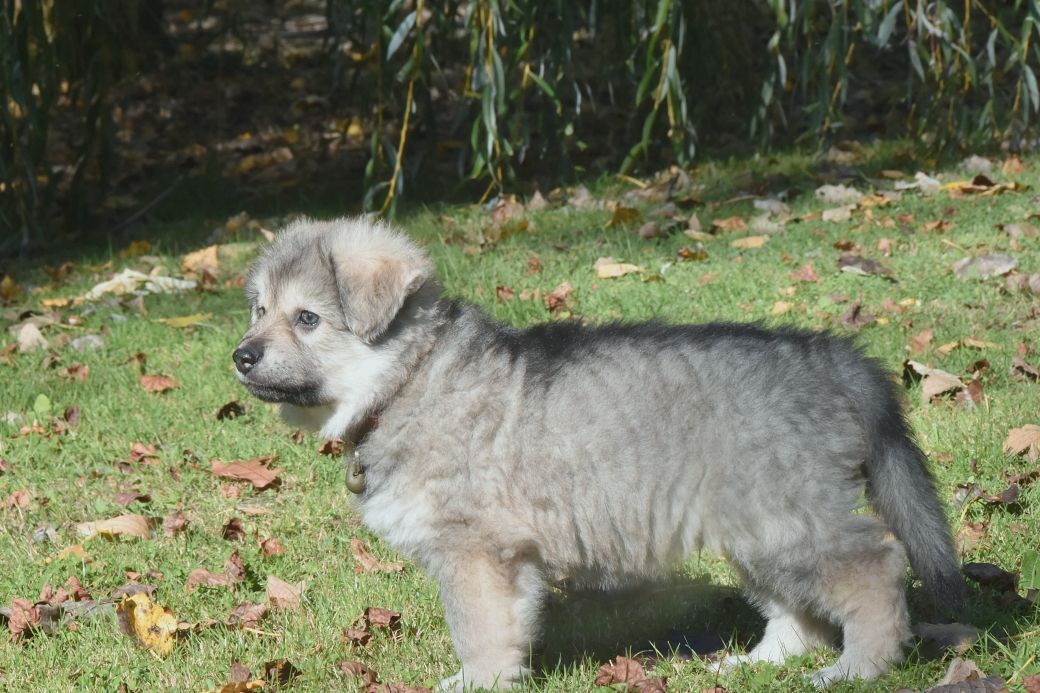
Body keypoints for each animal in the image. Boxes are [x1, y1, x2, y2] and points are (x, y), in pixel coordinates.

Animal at [233, 217, 966, 690]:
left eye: (307, 319)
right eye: (259, 310)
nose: (240, 356)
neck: (409, 378)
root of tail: (835, 357)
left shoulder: (477, 552)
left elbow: (477, 630)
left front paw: (474, 681)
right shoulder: (506, 560)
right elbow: (504, 627)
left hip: (787, 520)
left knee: (874, 564)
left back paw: (861, 666)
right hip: (756, 528)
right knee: (797, 610)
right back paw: (760, 663)